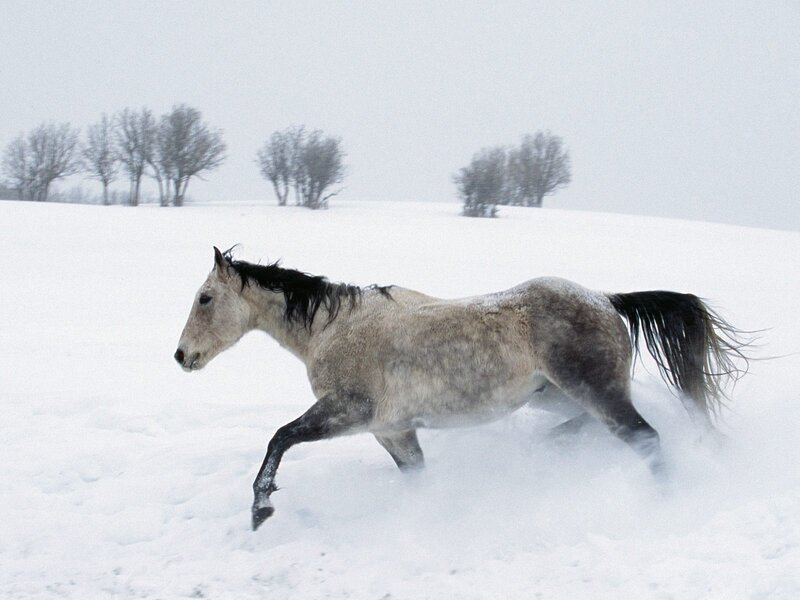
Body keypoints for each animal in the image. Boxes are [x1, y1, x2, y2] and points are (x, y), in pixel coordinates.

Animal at [174, 247, 749, 531]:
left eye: (205, 298)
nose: (181, 356)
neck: (335, 328)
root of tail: (607, 300)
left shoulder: (349, 411)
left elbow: (280, 437)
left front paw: (260, 509)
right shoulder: (392, 430)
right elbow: (417, 477)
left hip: (595, 391)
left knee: (646, 439)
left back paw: (665, 502)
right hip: (557, 395)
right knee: (592, 426)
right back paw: (548, 449)